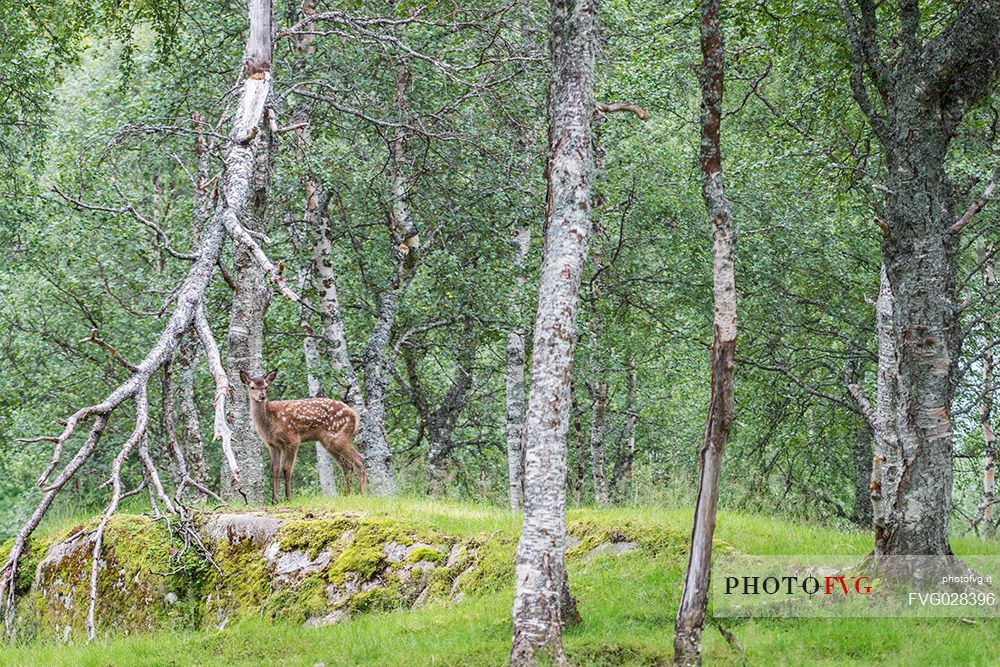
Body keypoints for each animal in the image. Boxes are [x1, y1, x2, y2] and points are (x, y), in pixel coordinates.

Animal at [240, 370, 366, 500]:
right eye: (252, 387)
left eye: (266, 386)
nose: (262, 396)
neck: (270, 422)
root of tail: (355, 414)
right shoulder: (272, 445)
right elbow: (274, 469)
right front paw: (275, 500)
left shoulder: (292, 439)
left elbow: (287, 469)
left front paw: (288, 498)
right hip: (328, 442)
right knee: (347, 466)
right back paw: (346, 495)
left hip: (340, 436)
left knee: (359, 459)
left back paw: (363, 494)